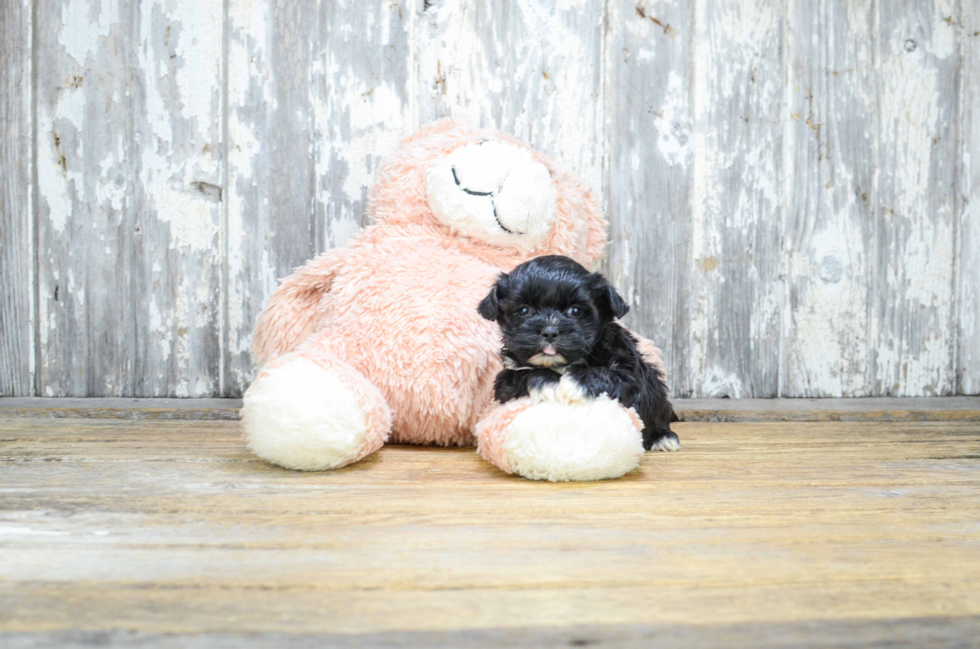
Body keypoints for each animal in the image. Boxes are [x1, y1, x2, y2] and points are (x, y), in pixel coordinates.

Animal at [476, 254, 676, 450]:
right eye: (524, 310)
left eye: (575, 311)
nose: (550, 331)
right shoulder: (506, 379)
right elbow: (519, 376)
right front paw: (546, 382)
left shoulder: (628, 375)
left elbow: (607, 375)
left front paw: (573, 382)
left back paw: (662, 437)